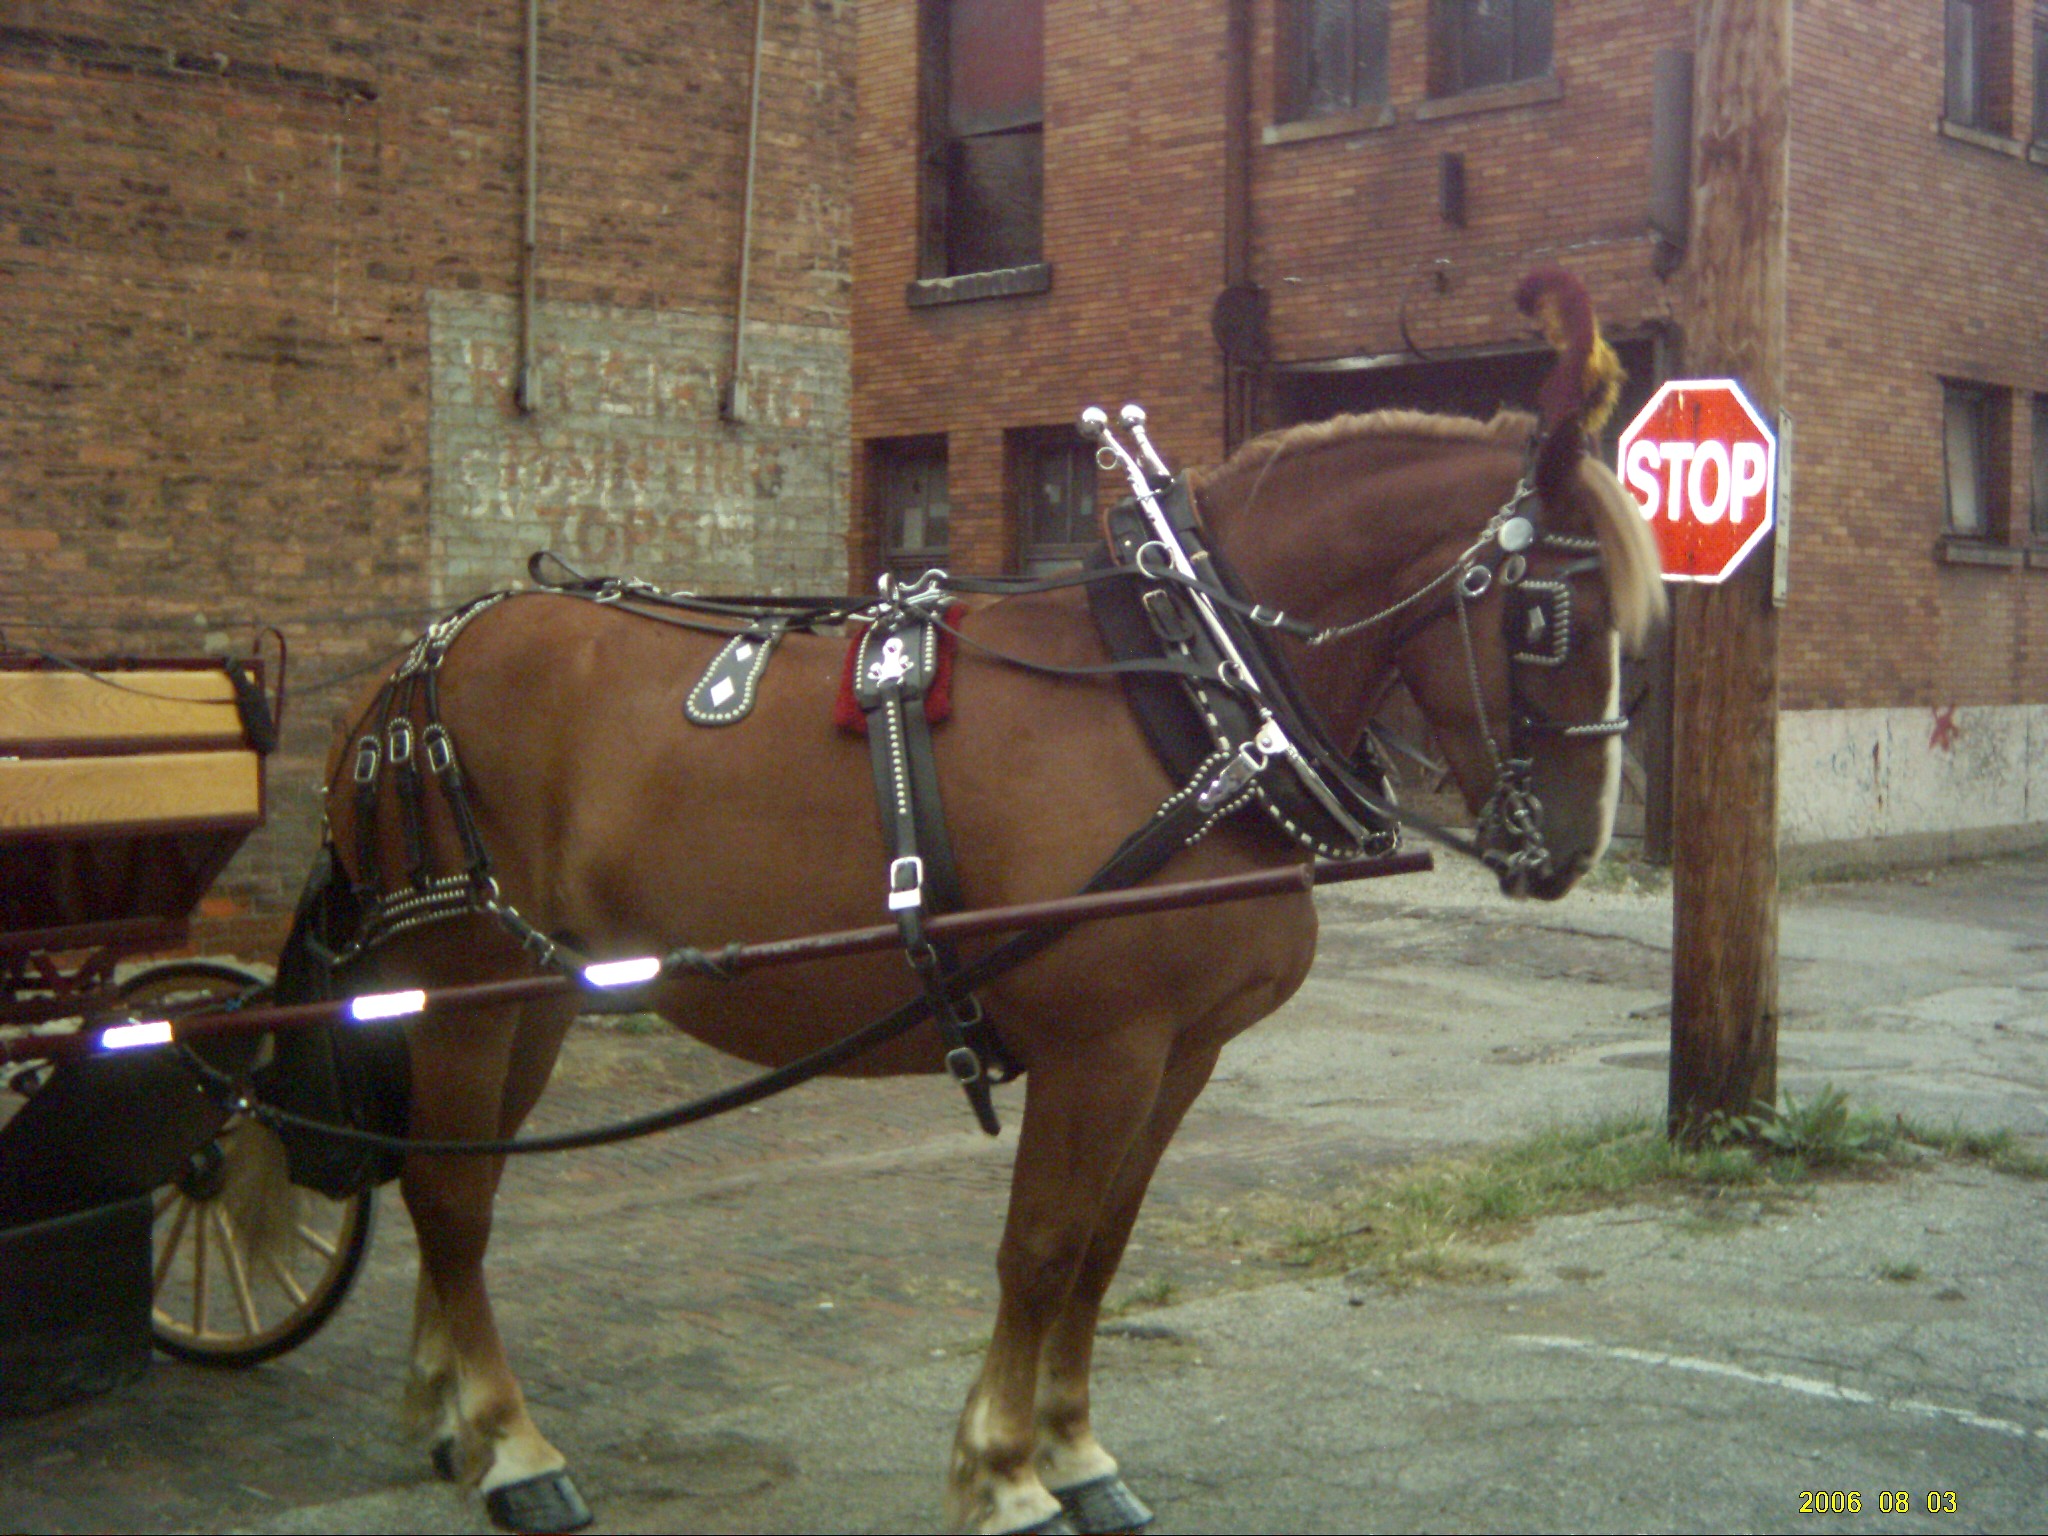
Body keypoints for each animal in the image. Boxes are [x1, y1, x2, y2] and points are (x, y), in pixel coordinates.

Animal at [314, 268, 1663, 1534]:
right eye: (1552, 615)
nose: (1573, 846)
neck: (1192, 695)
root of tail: (416, 659)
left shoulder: (1181, 1052)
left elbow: (1103, 1250)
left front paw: (1073, 1451)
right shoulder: (1099, 1047)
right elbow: (1041, 1250)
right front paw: (1006, 1473)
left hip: (536, 996)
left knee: (453, 1180)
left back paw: (448, 1414)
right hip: (467, 983)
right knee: (449, 1200)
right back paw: (510, 1445)